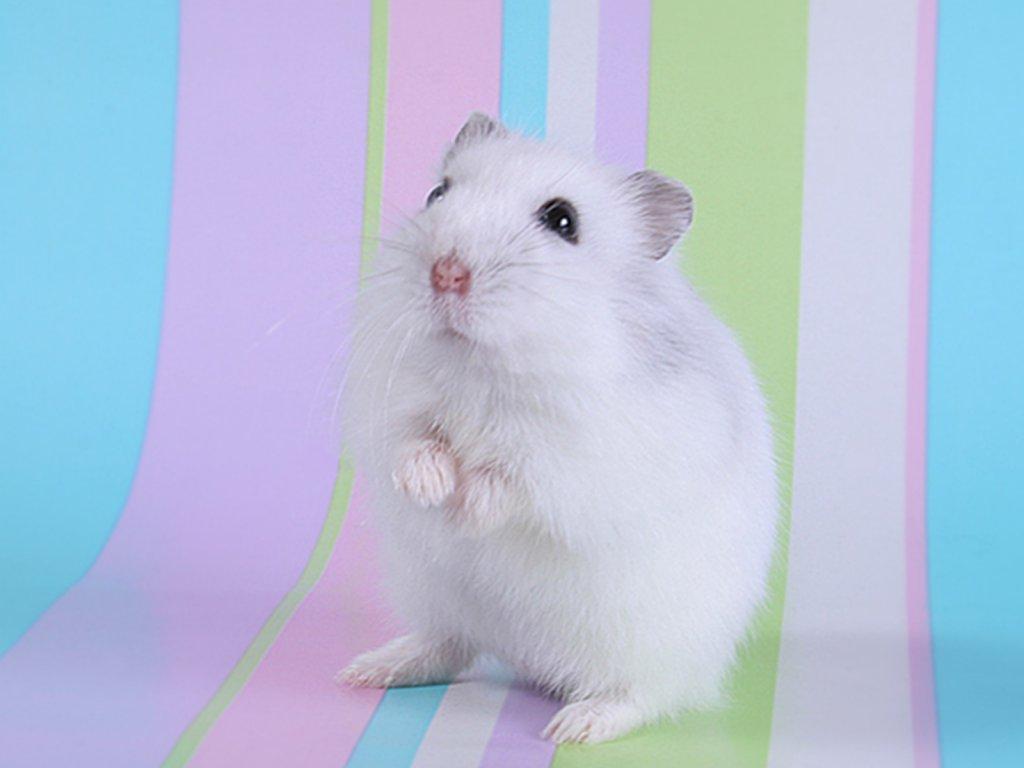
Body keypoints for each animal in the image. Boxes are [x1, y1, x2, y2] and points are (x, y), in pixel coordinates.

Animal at [336, 113, 778, 744]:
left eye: (562, 221)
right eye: (437, 194)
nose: (446, 273)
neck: (487, 364)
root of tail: (530, 658)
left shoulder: (577, 457)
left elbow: (517, 478)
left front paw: (466, 512)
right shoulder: (392, 405)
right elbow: (415, 442)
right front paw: (431, 490)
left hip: (650, 645)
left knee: (646, 695)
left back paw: (574, 726)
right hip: (431, 594)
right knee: (450, 645)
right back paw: (366, 671)